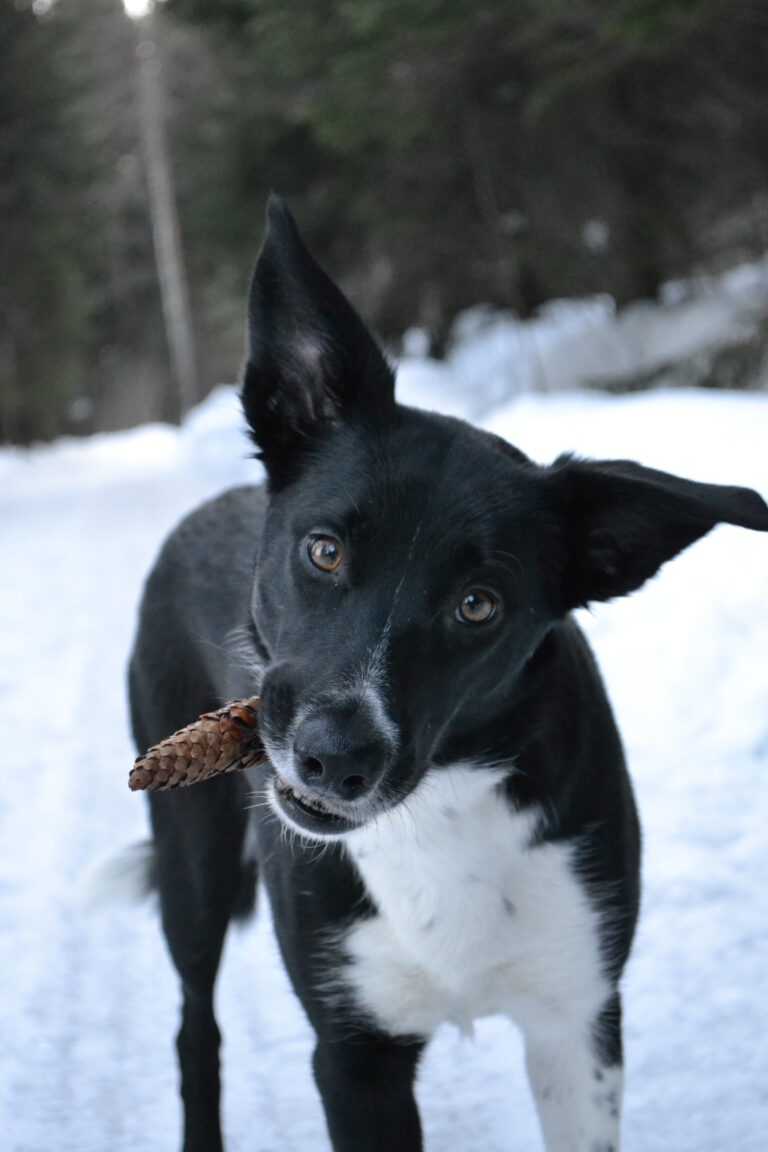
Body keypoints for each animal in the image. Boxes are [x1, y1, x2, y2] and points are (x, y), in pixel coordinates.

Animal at [128, 198, 768, 1152]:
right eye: (324, 550)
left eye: (478, 605)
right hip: (191, 862)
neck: (439, 812)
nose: (333, 757)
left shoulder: (580, 1024)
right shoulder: (354, 1054)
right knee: (192, 1025)